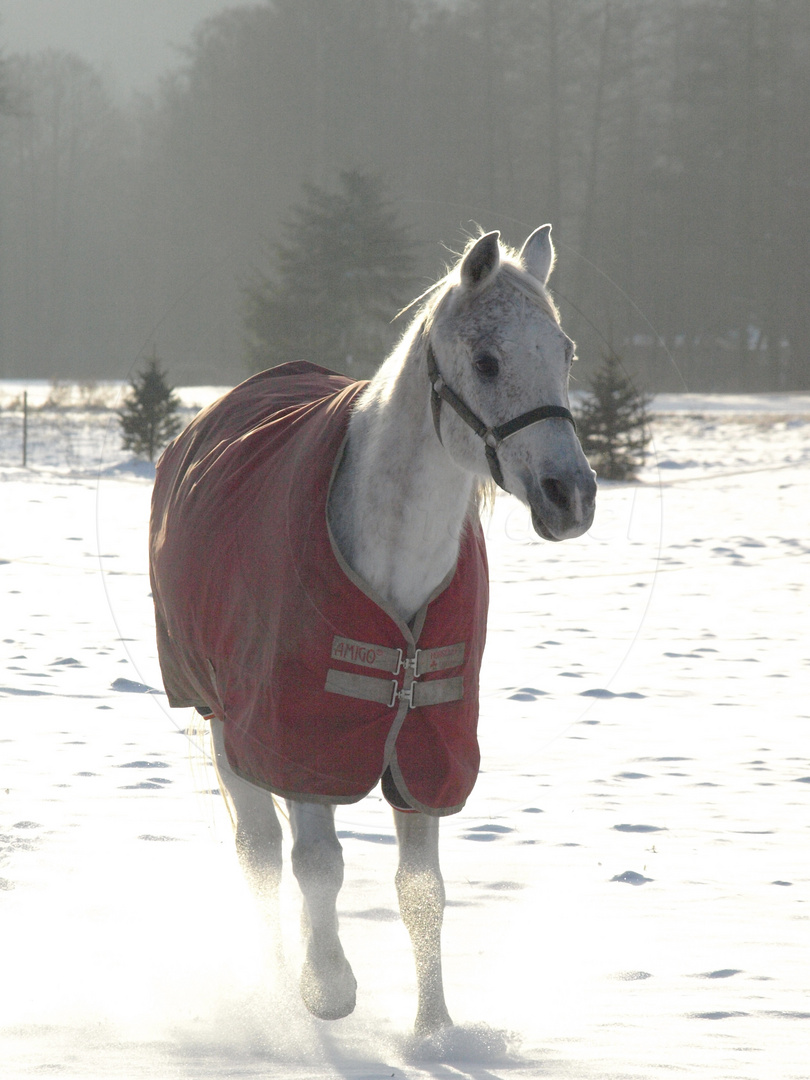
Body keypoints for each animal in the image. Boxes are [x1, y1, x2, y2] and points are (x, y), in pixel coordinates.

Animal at [151, 225, 596, 1036]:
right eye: (487, 360)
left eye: (566, 352)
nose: (571, 496)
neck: (394, 558)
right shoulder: (300, 734)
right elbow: (318, 866)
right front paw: (325, 988)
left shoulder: (427, 743)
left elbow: (422, 888)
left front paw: (434, 1030)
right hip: (222, 715)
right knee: (261, 853)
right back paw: (277, 986)